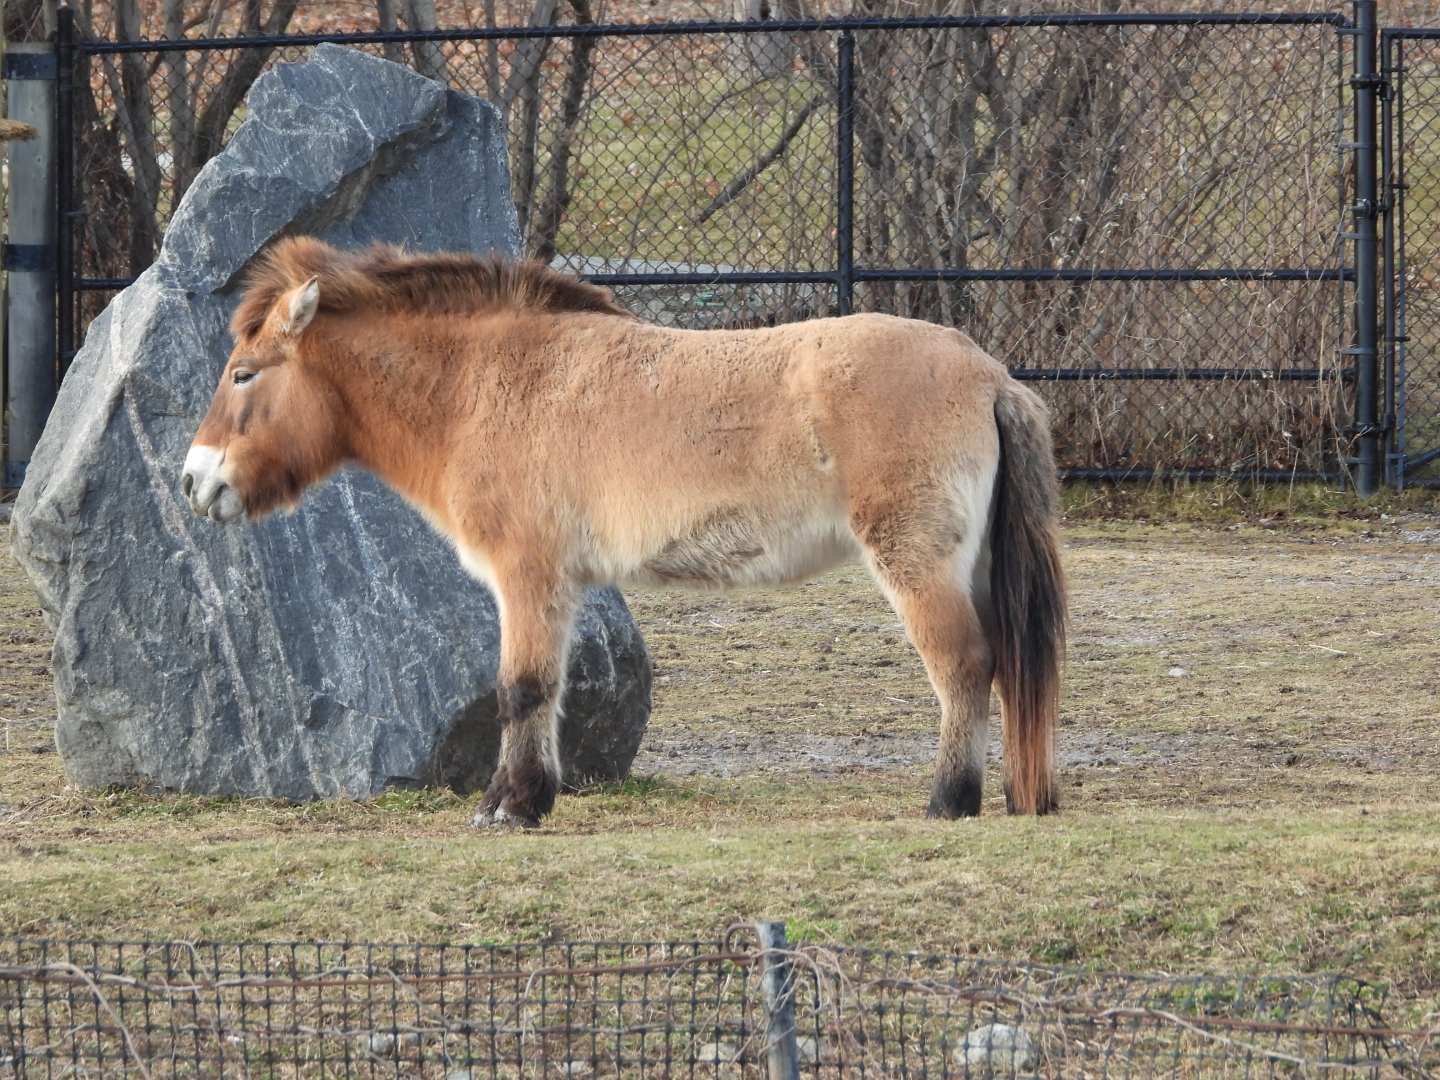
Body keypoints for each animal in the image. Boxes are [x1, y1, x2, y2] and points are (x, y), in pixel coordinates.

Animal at [182, 237, 1066, 828]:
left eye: (243, 373)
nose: (196, 481)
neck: (483, 386)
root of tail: (989, 374)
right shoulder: (562, 586)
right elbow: (549, 690)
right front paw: (530, 796)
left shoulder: (528, 576)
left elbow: (521, 687)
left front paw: (509, 806)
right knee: (1007, 666)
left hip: (916, 563)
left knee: (965, 665)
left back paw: (949, 801)